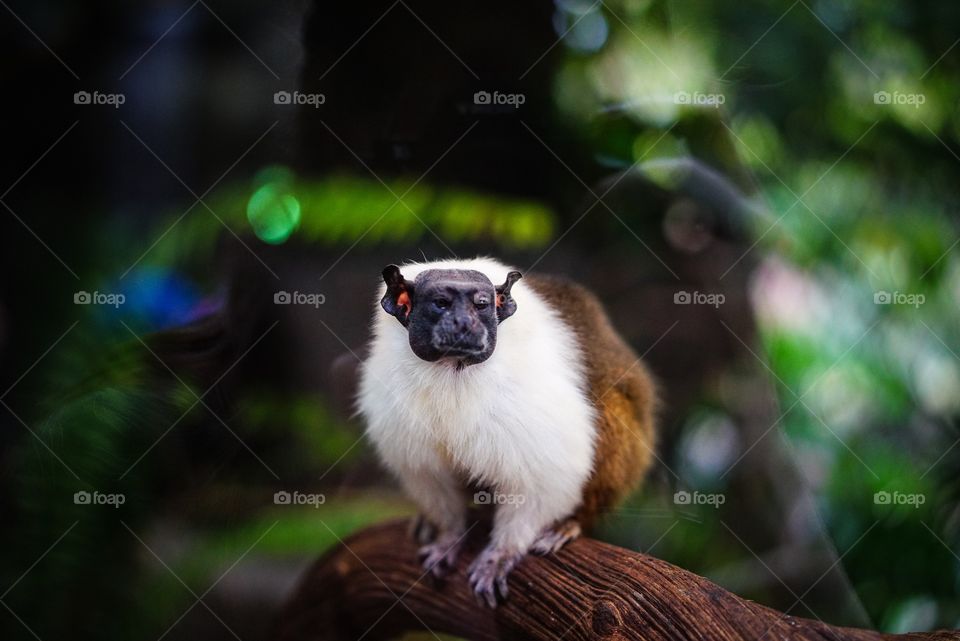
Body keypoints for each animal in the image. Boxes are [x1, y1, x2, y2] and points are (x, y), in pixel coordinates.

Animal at [357, 257, 656, 607]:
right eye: (441, 303)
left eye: (481, 305)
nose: (464, 324)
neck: (453, 371)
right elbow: (432, 479)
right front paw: (448, 537)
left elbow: (541, 481)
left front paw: (501, 554)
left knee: (612, 404)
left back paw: (571, 524)